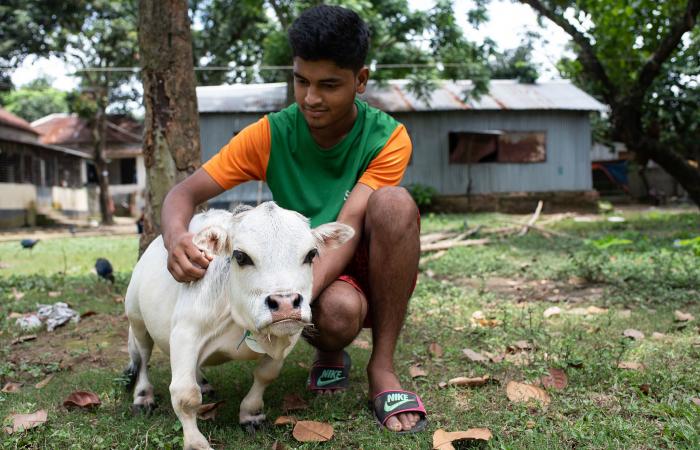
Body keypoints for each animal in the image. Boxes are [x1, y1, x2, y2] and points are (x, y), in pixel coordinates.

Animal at [123, 202, 352, 448]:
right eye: (241, 256)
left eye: (311, 254)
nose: (285, 304)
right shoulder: (185, 333)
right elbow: (186, 396)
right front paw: (195, 443)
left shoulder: (287, 337)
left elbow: (265, 375)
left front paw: (251, 414)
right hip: (137, 321)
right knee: (143, 359)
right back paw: (143, 397)